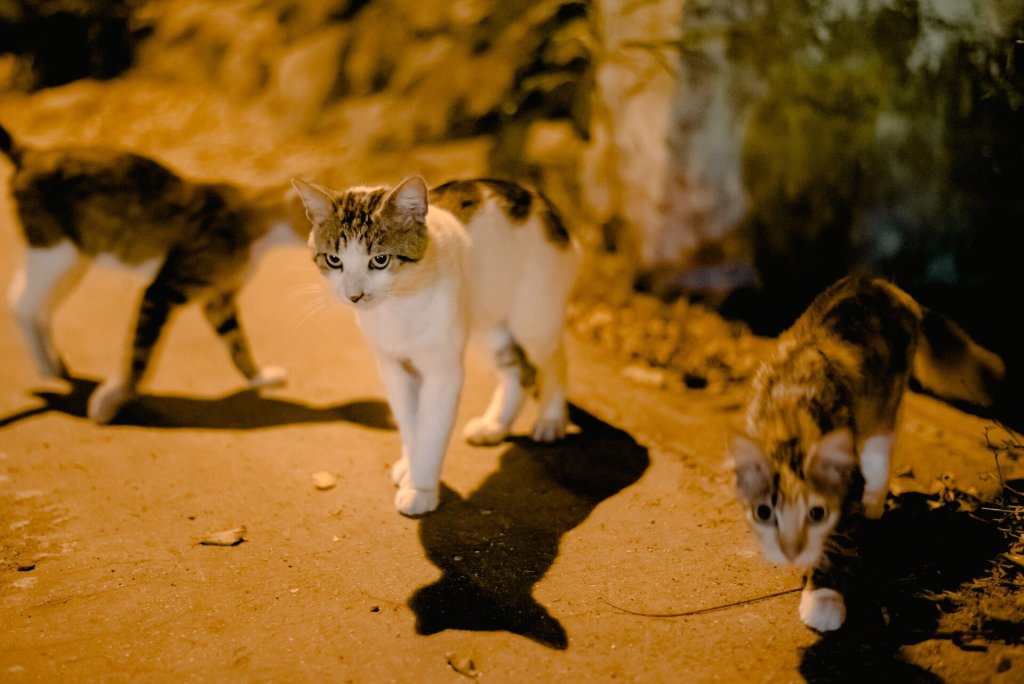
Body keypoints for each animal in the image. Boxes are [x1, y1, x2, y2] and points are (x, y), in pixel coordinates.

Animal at [1, 122, 311, 421]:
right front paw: (113, 399)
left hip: (72, 261)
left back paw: (53, 361)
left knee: (39, 305)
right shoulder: (163, 290)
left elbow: (237, 343)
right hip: (57, 254)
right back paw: (46, 366)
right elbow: (140, 354)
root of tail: (31, 154)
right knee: (21, 301)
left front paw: (259, 378)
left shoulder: (219, 300)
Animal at [294, 174, 585, 516]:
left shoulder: (443, 372)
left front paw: (421, 488)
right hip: (486, 325)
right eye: (334, 260)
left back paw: (551, 420)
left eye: (380, 260)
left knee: (555, 359)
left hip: (534, 320)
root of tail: (537, 198)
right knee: (519, 372)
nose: (354, 295)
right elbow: (410, 425)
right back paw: (494, 425)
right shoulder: (394, 368)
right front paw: (411, 467)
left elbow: (431, 429)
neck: (399, 305)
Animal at [733, 274, 1003, 634]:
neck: (789, 414)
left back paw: (873, 502)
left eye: (816, 513)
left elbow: (835, 546)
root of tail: (887, 286)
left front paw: (823, 599)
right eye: (766, 513)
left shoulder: (846, 485)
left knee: (880, 450)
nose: (792, 550)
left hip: (884, 404)